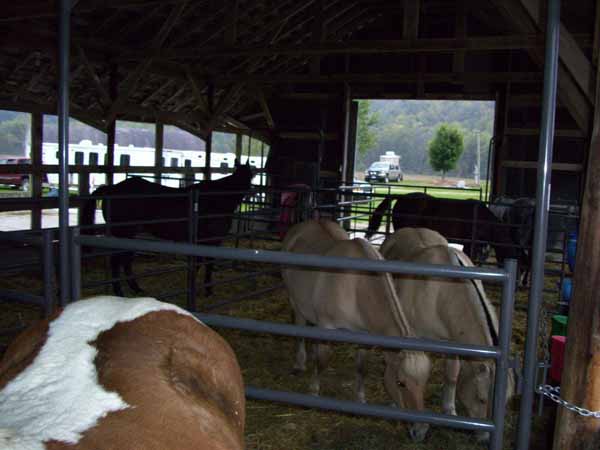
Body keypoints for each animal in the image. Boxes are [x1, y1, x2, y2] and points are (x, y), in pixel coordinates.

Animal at [80, 163, 253, 298]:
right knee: (117, 262)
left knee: (126, 261)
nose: (251, 194)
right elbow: (208, 264)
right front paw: (208, 290)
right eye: (250, 176)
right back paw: (120, 292)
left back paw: (136, 289)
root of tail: (112, 188)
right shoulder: (212, 241)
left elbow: (197, 264)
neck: (216, 199)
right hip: (124, 234)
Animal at [282, 220, 432, 442]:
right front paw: (314, 393)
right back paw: (299, 363)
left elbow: (361, 367)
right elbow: (322, 362)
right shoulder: (326, 327)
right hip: (295, 301)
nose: (420, 431)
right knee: (300, 330)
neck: (355, 285)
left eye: (424, 383)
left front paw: (360, 401)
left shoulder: (365, 335)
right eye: (400, 383)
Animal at [380, 230, 516, 442]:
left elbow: (452, 373)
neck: (440, 291)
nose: (485, 437)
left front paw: (449, 410)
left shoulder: (452, 341)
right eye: (481, 399)